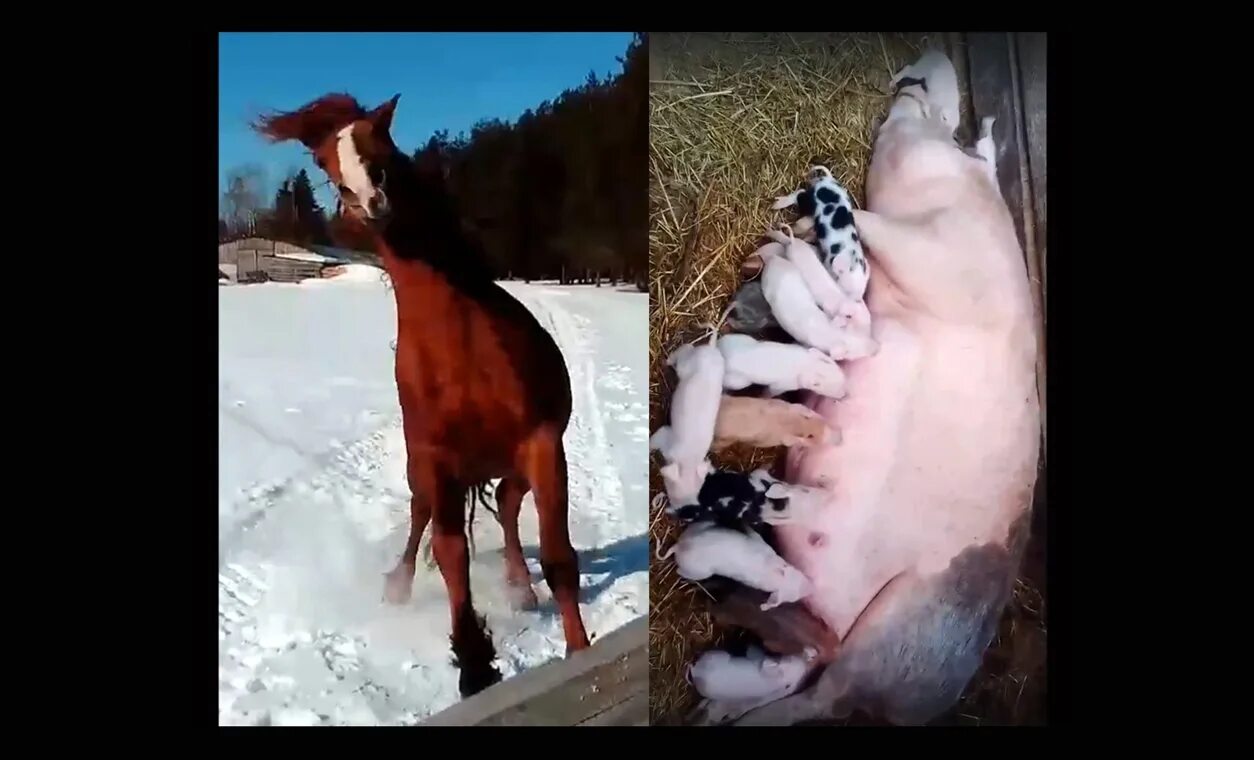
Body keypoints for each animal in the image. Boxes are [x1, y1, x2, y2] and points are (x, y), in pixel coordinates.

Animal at [253, 92, 591, 702]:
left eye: (380, 142)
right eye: (325, 162)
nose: (372, 200)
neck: (459, 345)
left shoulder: (541, 443)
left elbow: (559, 559)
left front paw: (577, 651)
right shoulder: (438, 461)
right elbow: (450, 553)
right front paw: (474, 664)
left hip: (515, 463)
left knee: (508, 507)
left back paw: (519, 586)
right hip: (426, 472)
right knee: (421, 519)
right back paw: (399, 584)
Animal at [657, 521, 812, 609]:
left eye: (800, 574)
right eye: (794, 597)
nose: (810, 587)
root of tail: (679, 546)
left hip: (697, 528)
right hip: (699, 572)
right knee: (679, 571)